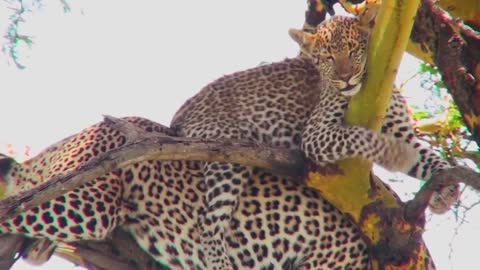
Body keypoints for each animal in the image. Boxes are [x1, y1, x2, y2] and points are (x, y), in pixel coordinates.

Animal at [171, 4, 460, 270]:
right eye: (329, 57)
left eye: (354, 50)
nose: (346, 78)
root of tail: (181, 112)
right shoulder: (316, 134)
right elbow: (360, 136)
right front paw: (394, 155)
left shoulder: (402, 132)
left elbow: (430, 158)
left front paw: (447, 191)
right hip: (227, 155)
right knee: (208, 222)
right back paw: (219, 261)